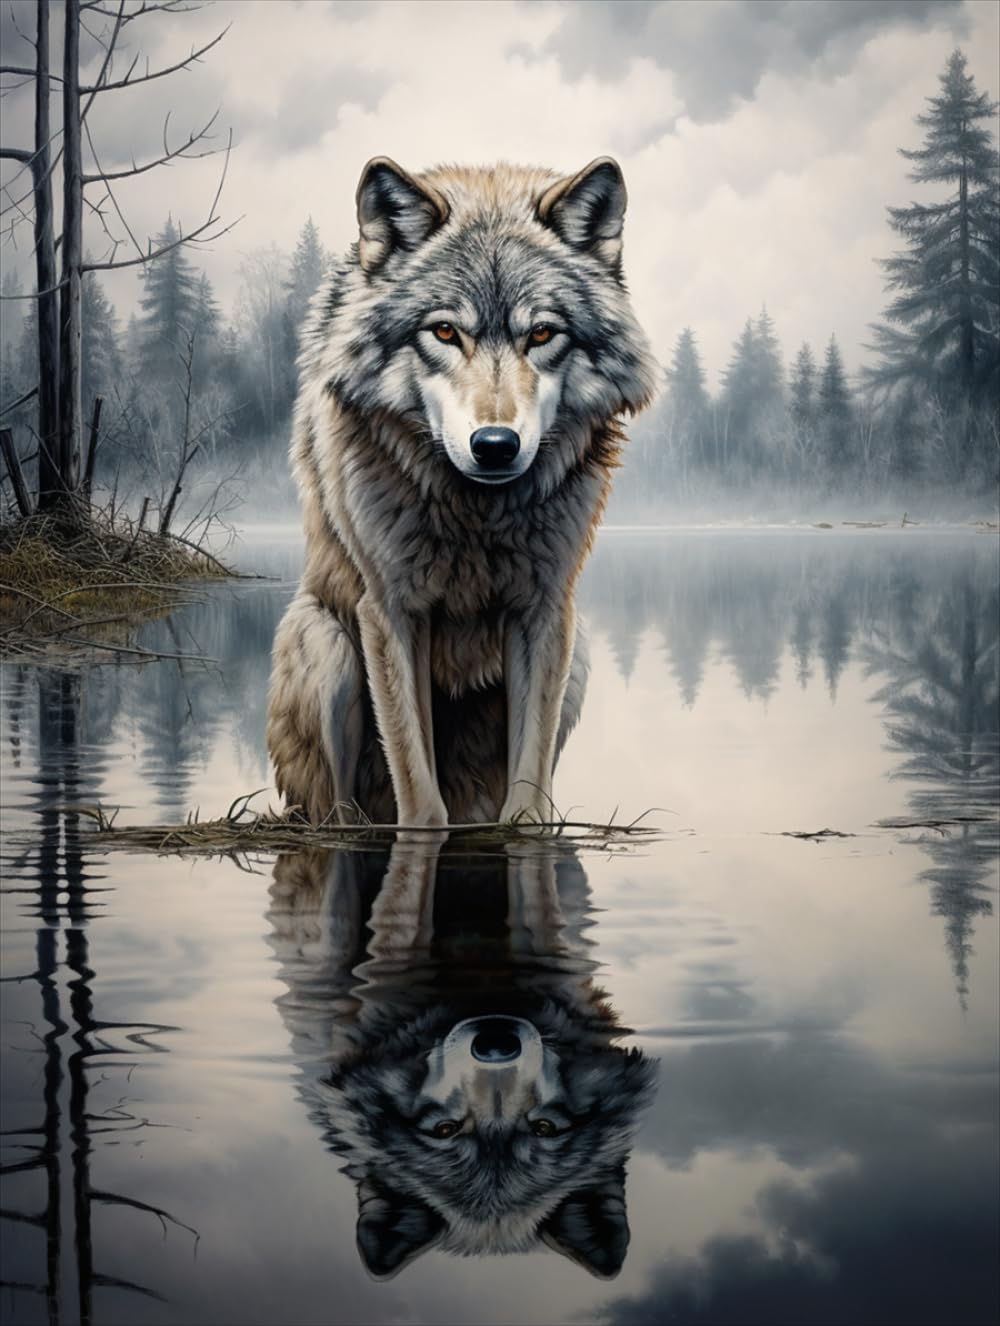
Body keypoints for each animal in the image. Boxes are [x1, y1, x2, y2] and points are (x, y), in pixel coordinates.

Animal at [267, 156, 657, 825]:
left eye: (542, 334)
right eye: (445, 331)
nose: (495, 444)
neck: (477, 516)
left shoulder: (544, 610)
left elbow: (529, 782)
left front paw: (527, 833)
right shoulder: (391, 611)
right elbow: (418, 787)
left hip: (578, 656)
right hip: (328, 648)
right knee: (336, 811)